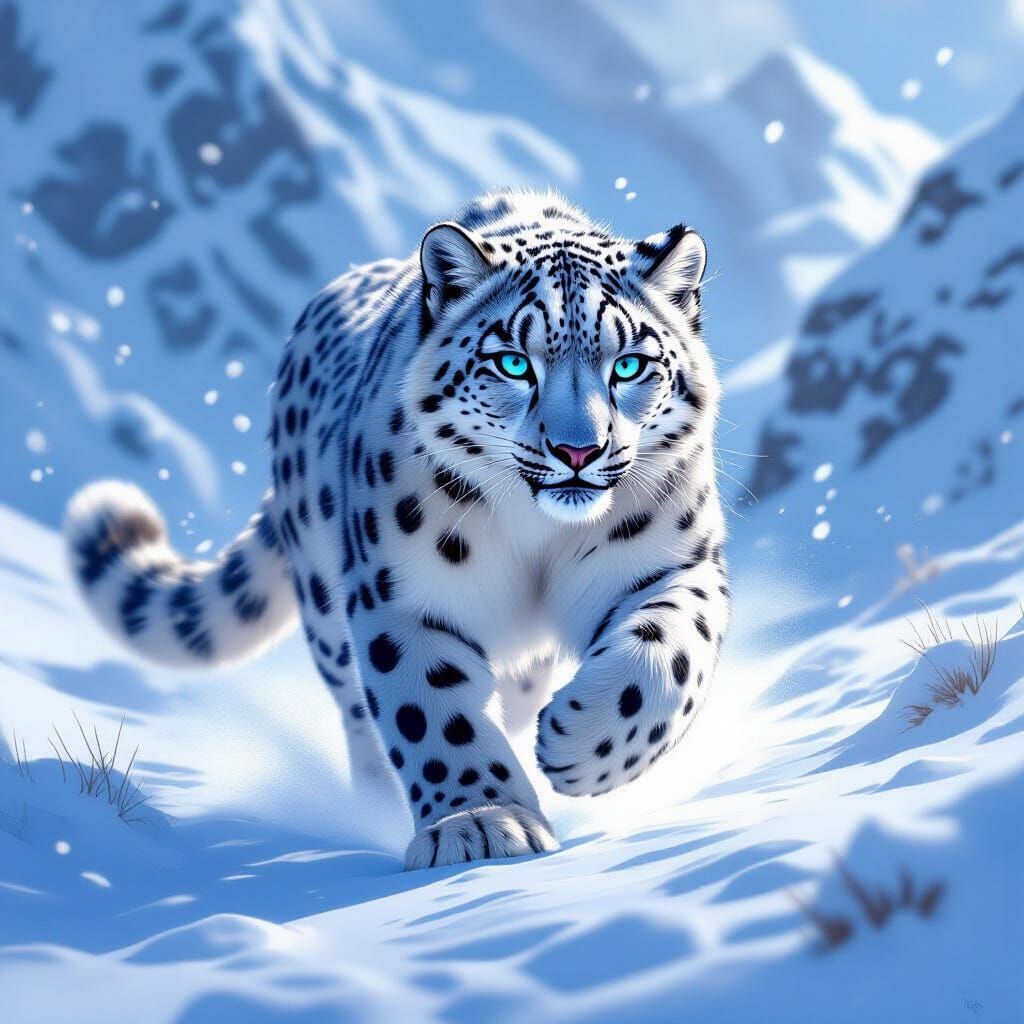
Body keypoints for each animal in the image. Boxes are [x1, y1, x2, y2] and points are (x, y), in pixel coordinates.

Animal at [65, 189, 729, 869]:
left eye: (630, 365)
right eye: (513, 363)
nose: (578, 451)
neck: (537, 538)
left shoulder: (673, 562)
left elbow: (668, 652)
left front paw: (580, 748)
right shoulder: (404, 597)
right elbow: (431, 710)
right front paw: (482, 823)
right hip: (328, 616)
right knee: (362, 719)